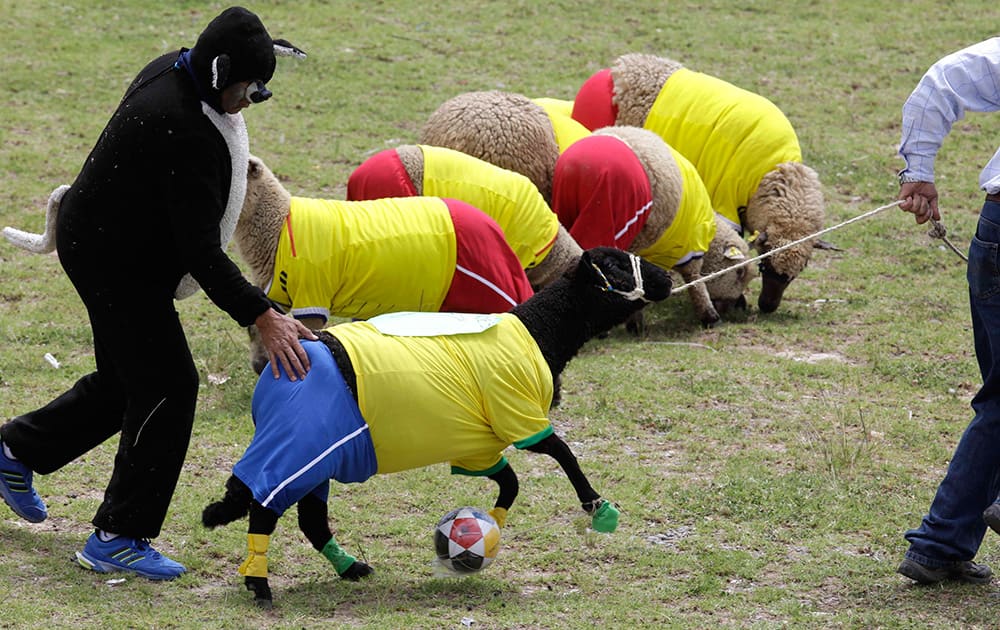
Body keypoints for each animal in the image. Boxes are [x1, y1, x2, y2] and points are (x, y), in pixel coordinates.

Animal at [201, 246, 672, 608]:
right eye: (614, 267)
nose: (666, 278)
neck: (538, 332)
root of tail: (274, 376)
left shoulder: (478, 445)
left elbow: (511, 482)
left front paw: (490, 526)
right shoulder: (517, 414)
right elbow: (563, 452)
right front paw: (598, 507)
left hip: (317, 458)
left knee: (309, 519)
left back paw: (350, 568)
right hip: (299, 448)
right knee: (264, 508)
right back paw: (260, 584)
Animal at [552, 126, 752, 328]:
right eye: (739, 273)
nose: (739, 307)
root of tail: (576, 167)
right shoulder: (688, 245)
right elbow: (694, 279)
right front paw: (709, 314)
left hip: (566, 206)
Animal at [576, 53, 824, 314]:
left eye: (797, 273)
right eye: (765, 265)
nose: (767, 307)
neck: (771, 173)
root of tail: (619, 68)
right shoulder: (725, 201)